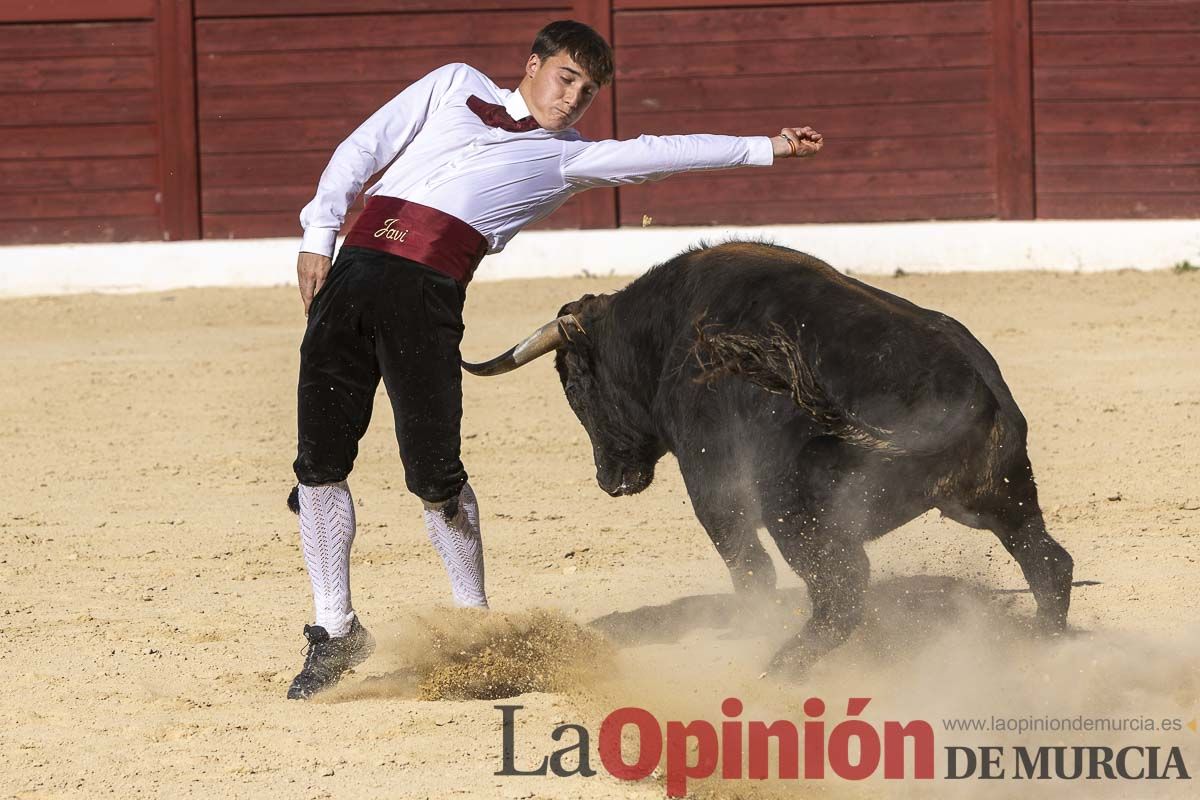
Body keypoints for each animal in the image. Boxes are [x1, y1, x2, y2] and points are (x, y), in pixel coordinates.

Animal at [463, 239, 1075, 676]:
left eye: (573, 387)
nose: (608, 480)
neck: (663, 332)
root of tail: (969, 391)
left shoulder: (712, 481)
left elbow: (745, 562)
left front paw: (746, 626)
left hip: (799, 516)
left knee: (841, 591)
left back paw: (781, 665)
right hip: (1001, 495)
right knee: (1048, 560)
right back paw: (1042, 645)